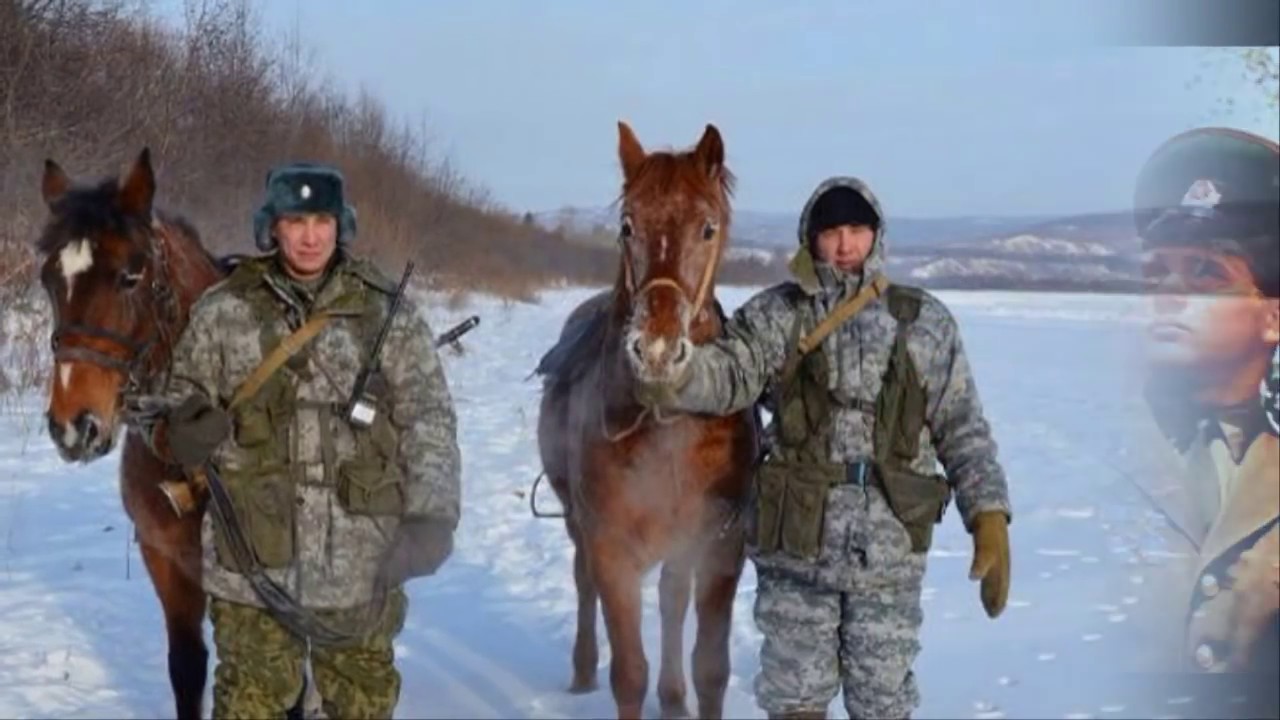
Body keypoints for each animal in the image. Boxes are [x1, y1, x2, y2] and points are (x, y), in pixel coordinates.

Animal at [532, 122, 757, 717]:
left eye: (708, 228)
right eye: (627, 224)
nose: (655, 350)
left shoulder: (719, 548)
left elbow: (711, 669)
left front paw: (684, 693)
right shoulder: (610, 548)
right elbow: (629, 673)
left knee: (672, 600)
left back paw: (673, 698)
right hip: (578, 525)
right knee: (583, 583)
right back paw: (582, 669)